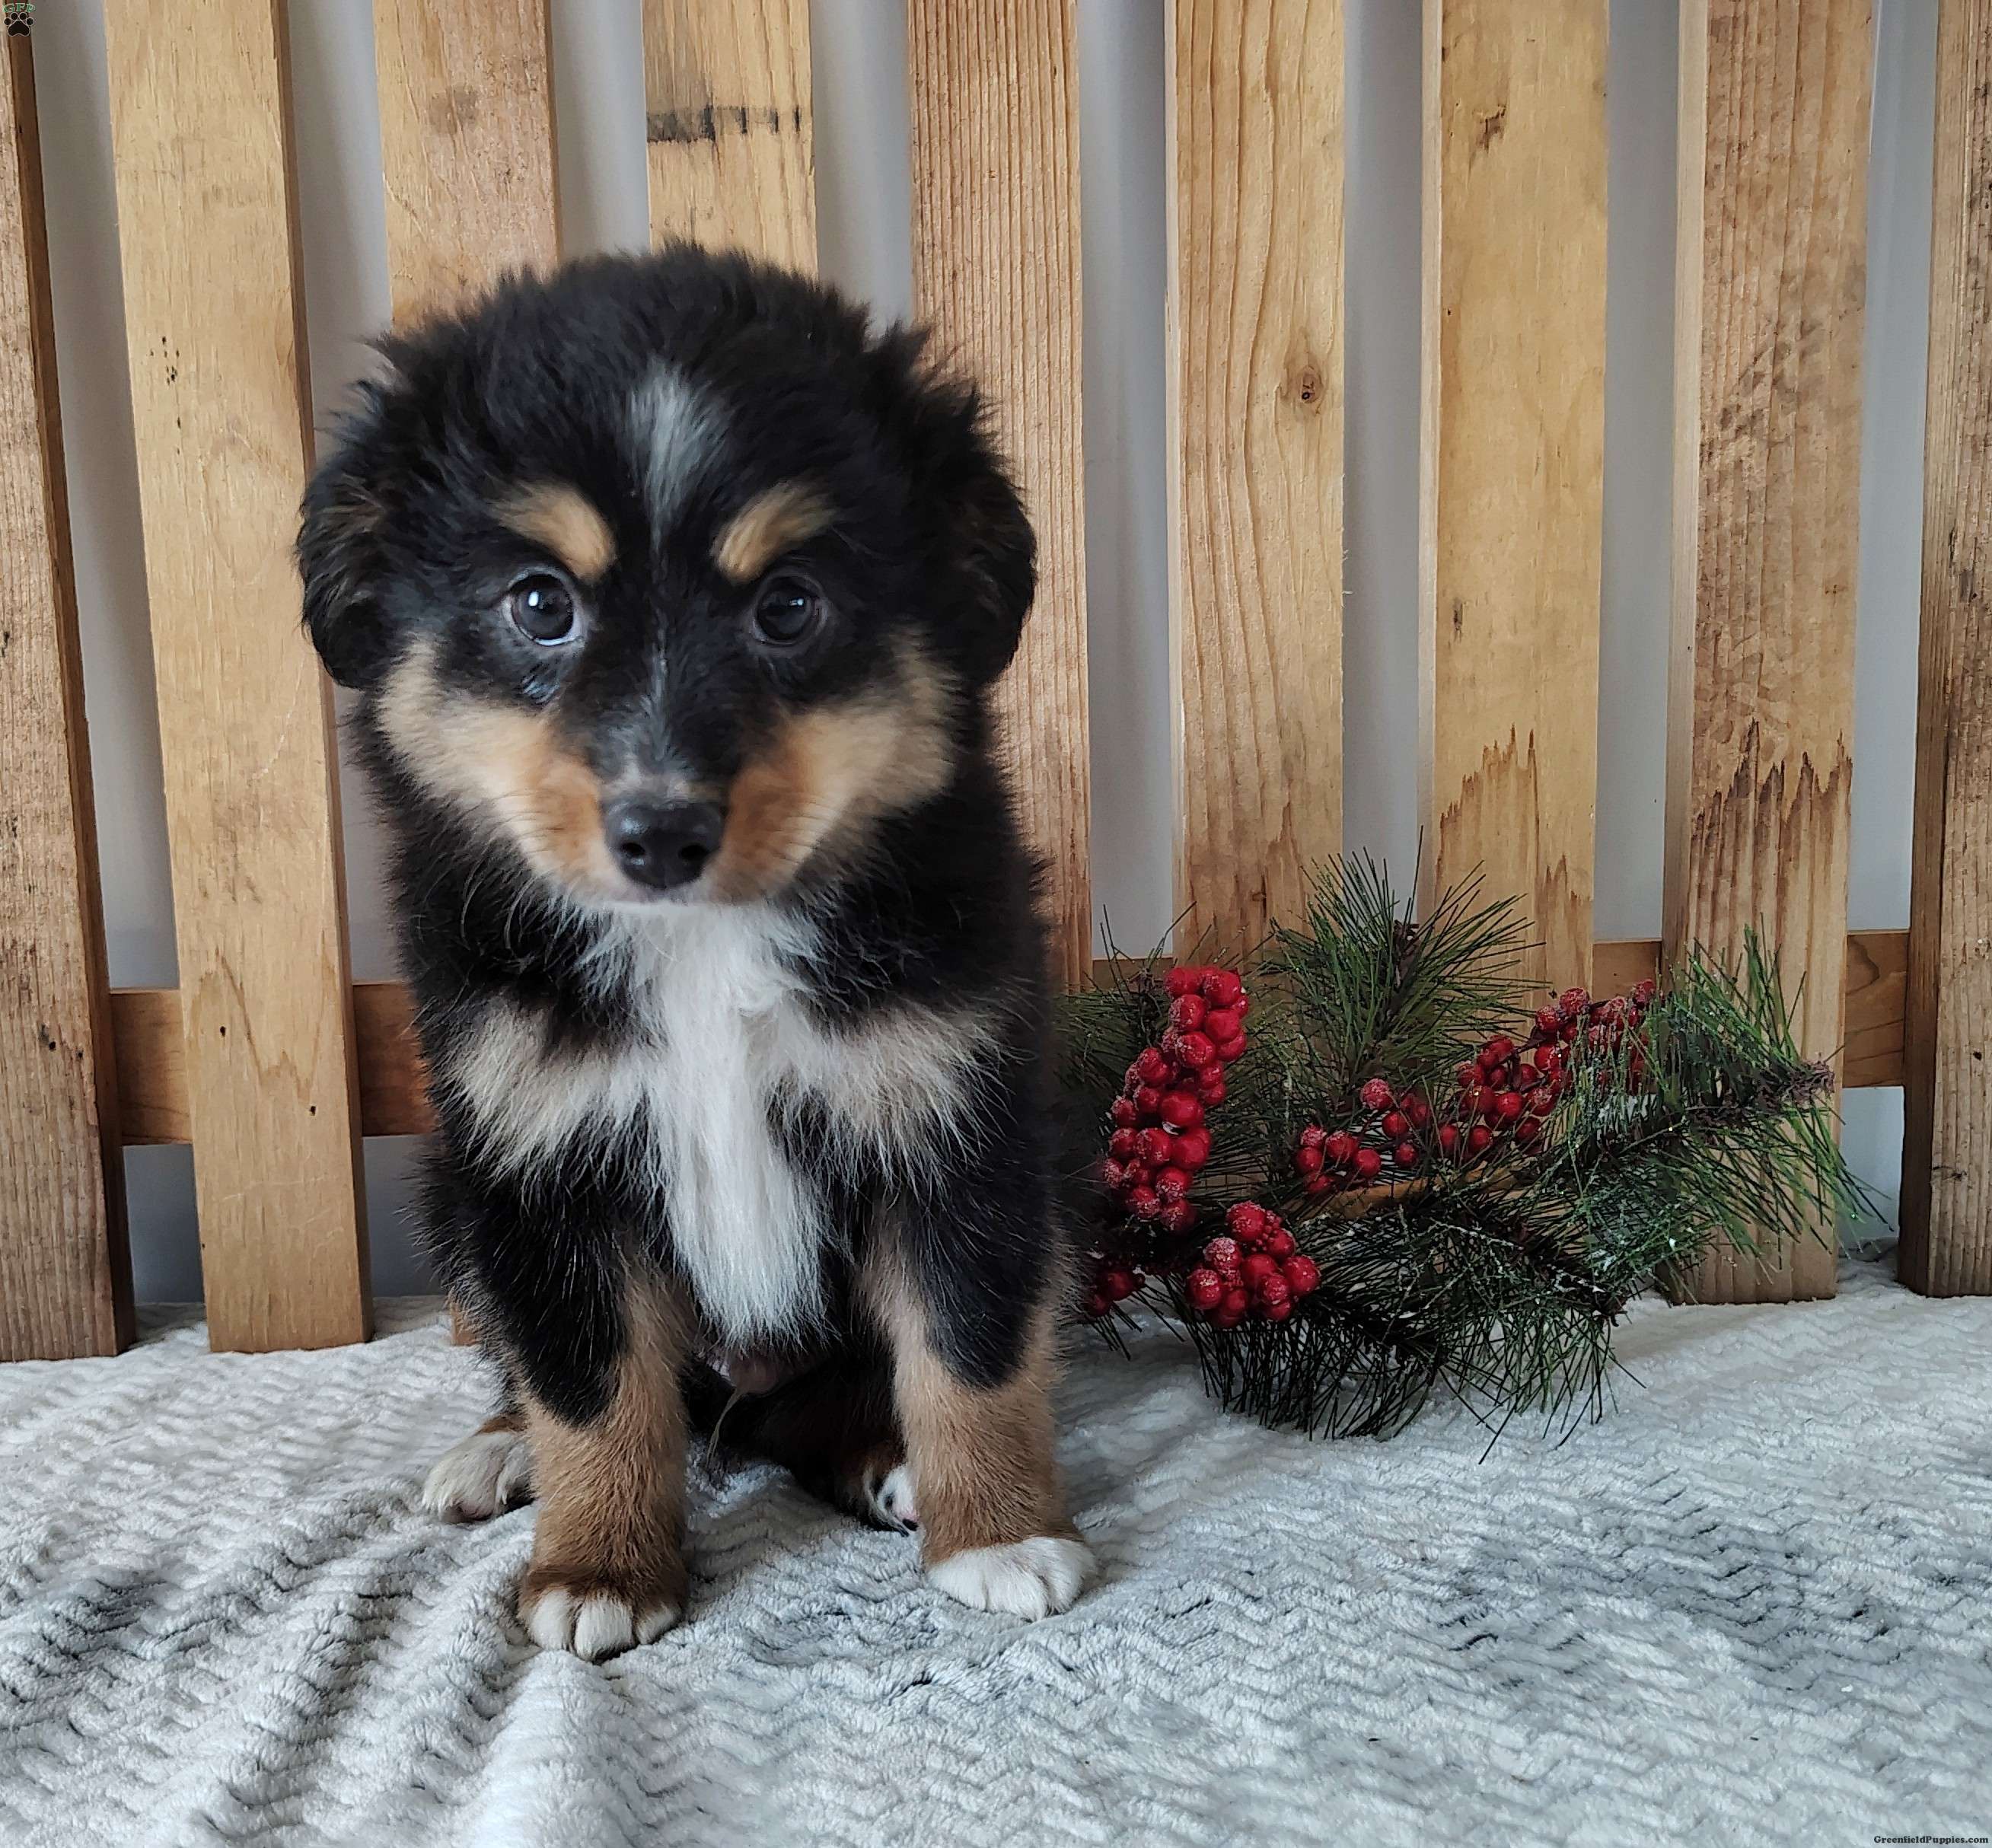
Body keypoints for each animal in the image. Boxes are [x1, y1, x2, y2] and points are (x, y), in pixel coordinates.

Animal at [296, 245, 1090, 1657]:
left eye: (789, 606)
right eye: (540, 603)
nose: (661, 830)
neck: (700, 947)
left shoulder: (956, 1122)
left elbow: (970, 1346)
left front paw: (997, 1529)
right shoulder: (544, 1157)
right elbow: (591, 1383)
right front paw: (599, 1561)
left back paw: (887, 1461)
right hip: (452, 1188)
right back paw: (498, 1450)